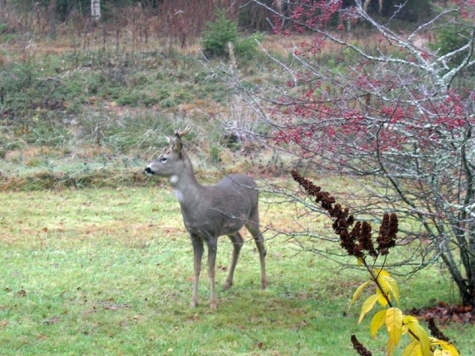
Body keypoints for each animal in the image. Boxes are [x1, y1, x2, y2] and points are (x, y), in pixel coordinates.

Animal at [144, 127, 268, 308]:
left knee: (260, 242)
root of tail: (252, 180)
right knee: (239, 241)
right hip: (231, 227)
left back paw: (264, 282)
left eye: (164, 158)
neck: (197, 203)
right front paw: (193, 302)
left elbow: (211, 269)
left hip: (253, 214)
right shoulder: (194, 234)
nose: (146, 169)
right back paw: (227, 283)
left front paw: (213, 303)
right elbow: (196, 268)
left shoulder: (212, 233)